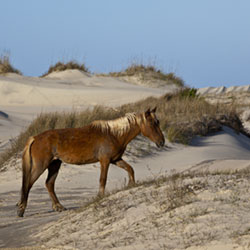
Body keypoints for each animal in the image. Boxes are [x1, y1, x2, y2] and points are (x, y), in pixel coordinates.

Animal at [16, 108, 165, 217]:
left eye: (158, 122)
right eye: (152, 123)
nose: (162, 142)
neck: (113, 134)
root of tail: (35, 138)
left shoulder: (115, 160)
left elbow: (130, 169)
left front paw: (131, 185)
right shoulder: (105, 161)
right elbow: (103, 179)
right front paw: (100, 197)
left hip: (55, 164)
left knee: (49, 184)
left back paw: (59, 207)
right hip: (41, 165)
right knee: (28, 183)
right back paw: (21, 209)